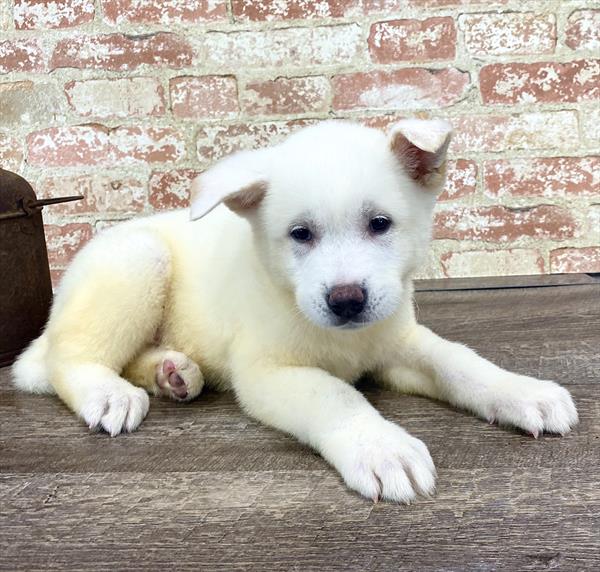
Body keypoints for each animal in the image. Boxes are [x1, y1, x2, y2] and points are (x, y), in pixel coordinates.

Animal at [12, 119, 576, 500]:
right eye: (301, 234)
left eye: (380, 224)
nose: (346, 299)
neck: (345, 339)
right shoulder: (267, 373)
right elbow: (336, 397)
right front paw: (380, 447)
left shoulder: (397, 344)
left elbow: (461, 362)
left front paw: (521, 392)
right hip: (138, 260)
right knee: (64, 361)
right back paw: (107, 392)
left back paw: (172, 373)